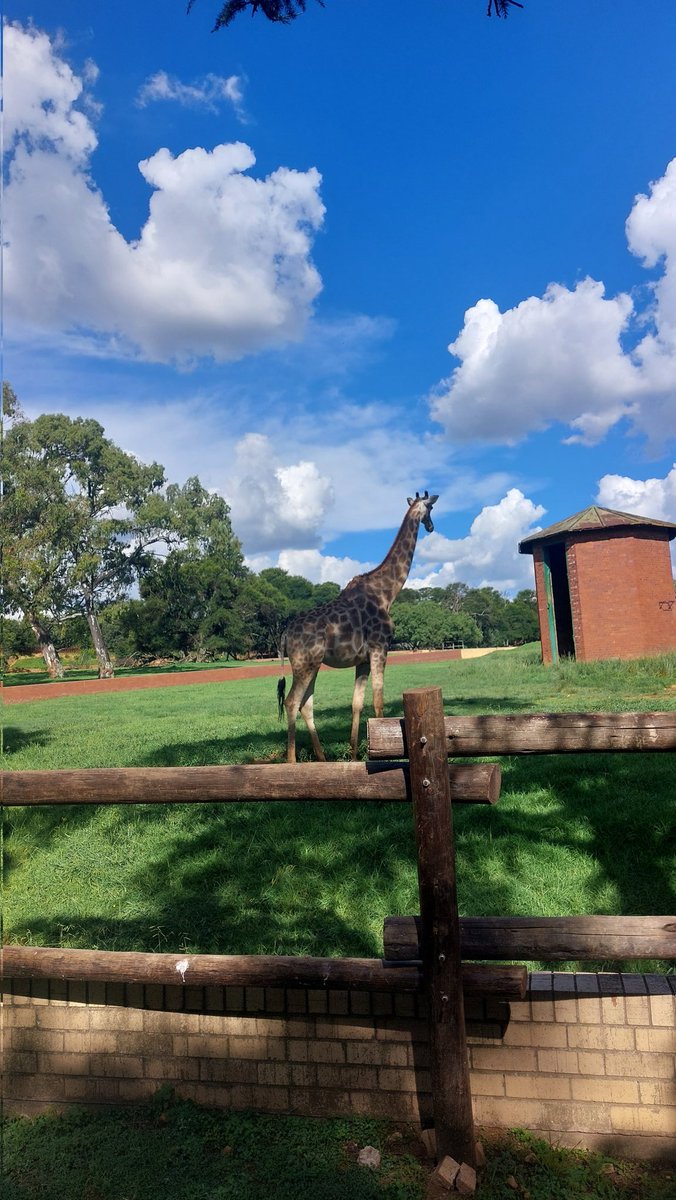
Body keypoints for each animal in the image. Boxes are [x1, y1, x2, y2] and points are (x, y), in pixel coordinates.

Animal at [277, 491, 439, 763]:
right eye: (430, 509)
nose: (431, 526)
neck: (387, 593)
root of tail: (285, 634)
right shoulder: (380, 647)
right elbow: (379, 702)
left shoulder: (362, 659)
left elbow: (357, 703)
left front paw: (353, 756)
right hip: (304, 664)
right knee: (291, 702)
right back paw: (292, 762)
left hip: (313, 664)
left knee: (305, 704)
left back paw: (322, 758)